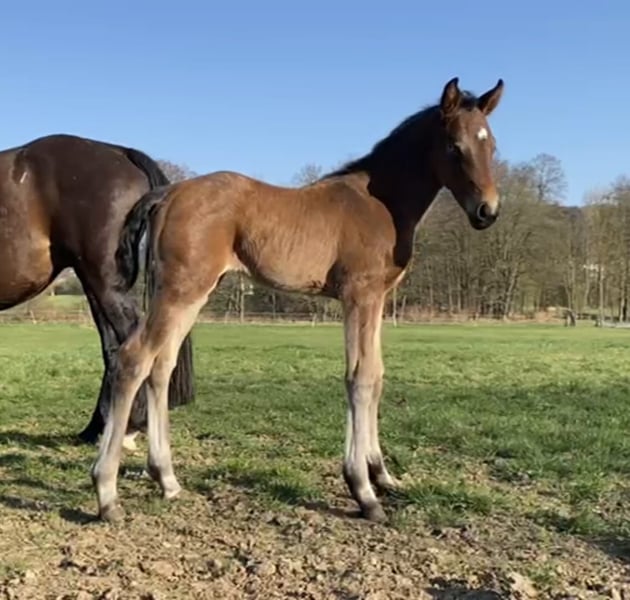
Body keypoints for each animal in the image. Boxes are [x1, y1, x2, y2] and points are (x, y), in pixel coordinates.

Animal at [0, 134, 195, 444]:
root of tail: (119, 151)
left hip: (102, 281)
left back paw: (127, 428)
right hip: (93, 282)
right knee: (113, 348)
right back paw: (99, 428)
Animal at [91, 76, 504, 523]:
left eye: (492, 145)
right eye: (454, 146)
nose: (488, 211)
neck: (381, 202)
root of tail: (168, 193)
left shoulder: (378, 299)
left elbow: (376, 375)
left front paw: (381, 474)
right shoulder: (359, 295)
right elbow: (359, 378)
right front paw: (363, 490)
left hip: (191, 293)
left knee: (160, 366)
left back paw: (166, 478)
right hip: (181, 290)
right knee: (133, 359)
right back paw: (106, 492)